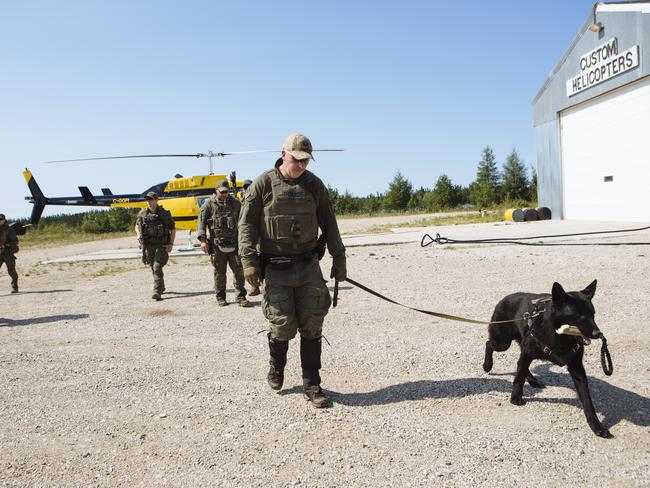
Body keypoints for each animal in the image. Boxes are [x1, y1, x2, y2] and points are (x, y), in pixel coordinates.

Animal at [480, 280, 608, 436]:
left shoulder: (577, 368)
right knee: (490, 345)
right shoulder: (528, 352)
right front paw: (515, 397)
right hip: (502, 342)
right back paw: (487, 365)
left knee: (519, 364)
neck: (560, 335)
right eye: (579, 316)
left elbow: (587, 400)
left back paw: (533, 380)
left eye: (593, 314)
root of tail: (505, 298)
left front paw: (596, 425)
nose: (598, 333)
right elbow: (519, 378)